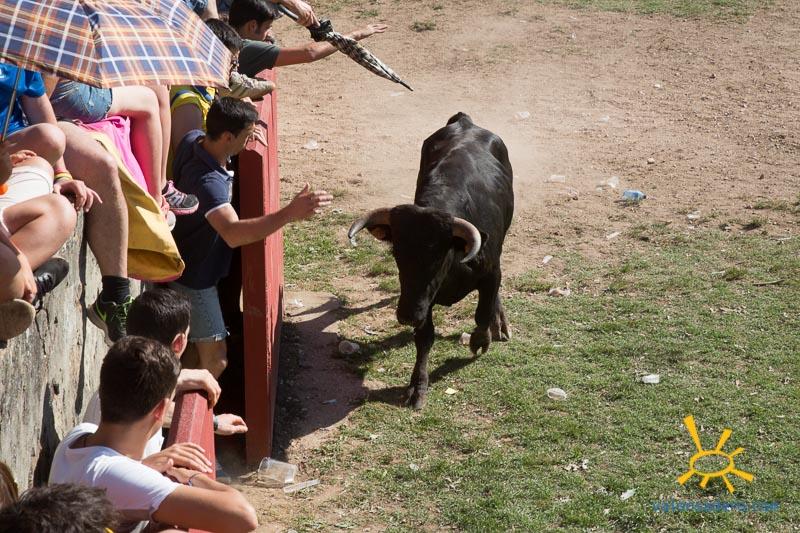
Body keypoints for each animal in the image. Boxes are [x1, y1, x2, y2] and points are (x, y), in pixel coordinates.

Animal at [348, 112, 514, 409]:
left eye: (437, 256)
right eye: (396, 254)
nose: (406, 316)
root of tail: (465, 122)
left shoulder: (491, 271)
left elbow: (482, 310)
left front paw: (480, 339)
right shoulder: (422, 300)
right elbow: (424, 338)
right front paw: (418, 385)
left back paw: (499, 323)